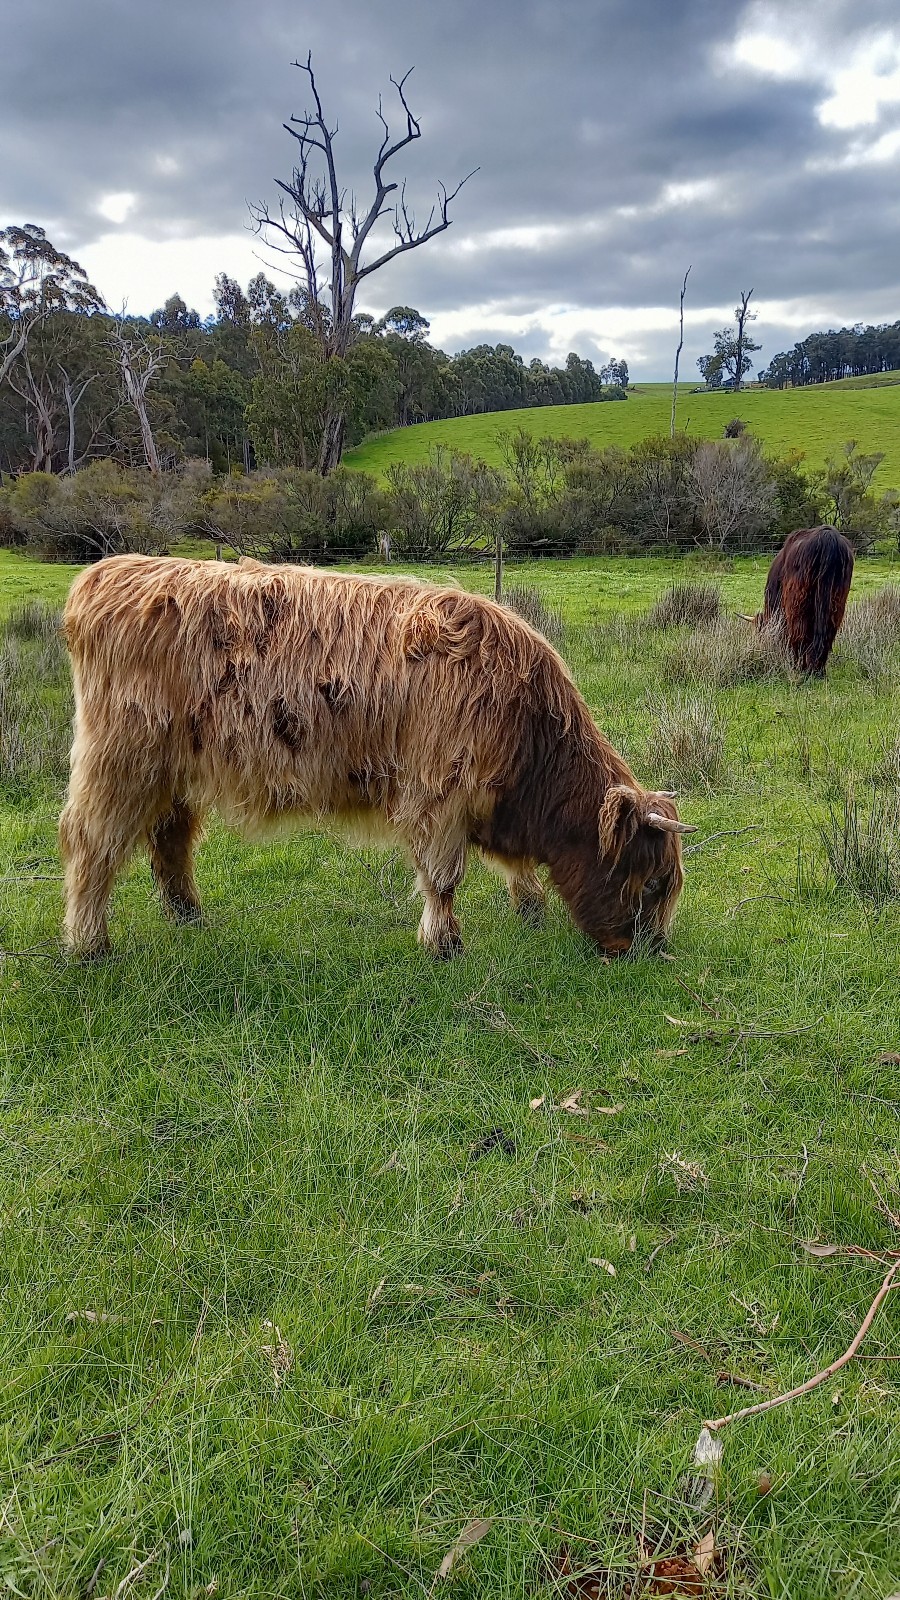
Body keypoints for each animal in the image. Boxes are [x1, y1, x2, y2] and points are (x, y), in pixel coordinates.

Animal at [59, 556, 694, 960]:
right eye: (652, 881)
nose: (645, 950)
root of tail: (106, 573)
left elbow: (511, 867)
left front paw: (529, 907)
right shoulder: (440, 791)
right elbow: (443, 875)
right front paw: (445, 943)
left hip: (173, 770)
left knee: (170, 838)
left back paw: (188, 915)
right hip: (120, 760)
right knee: (93, 841)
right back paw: (91, 945)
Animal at [753, 525, 854, 676]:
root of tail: (828, 537)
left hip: (798, 601)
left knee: (799, 633)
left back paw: (800, 667)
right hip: (837, 600)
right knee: (828, 633)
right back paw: (819, 670)